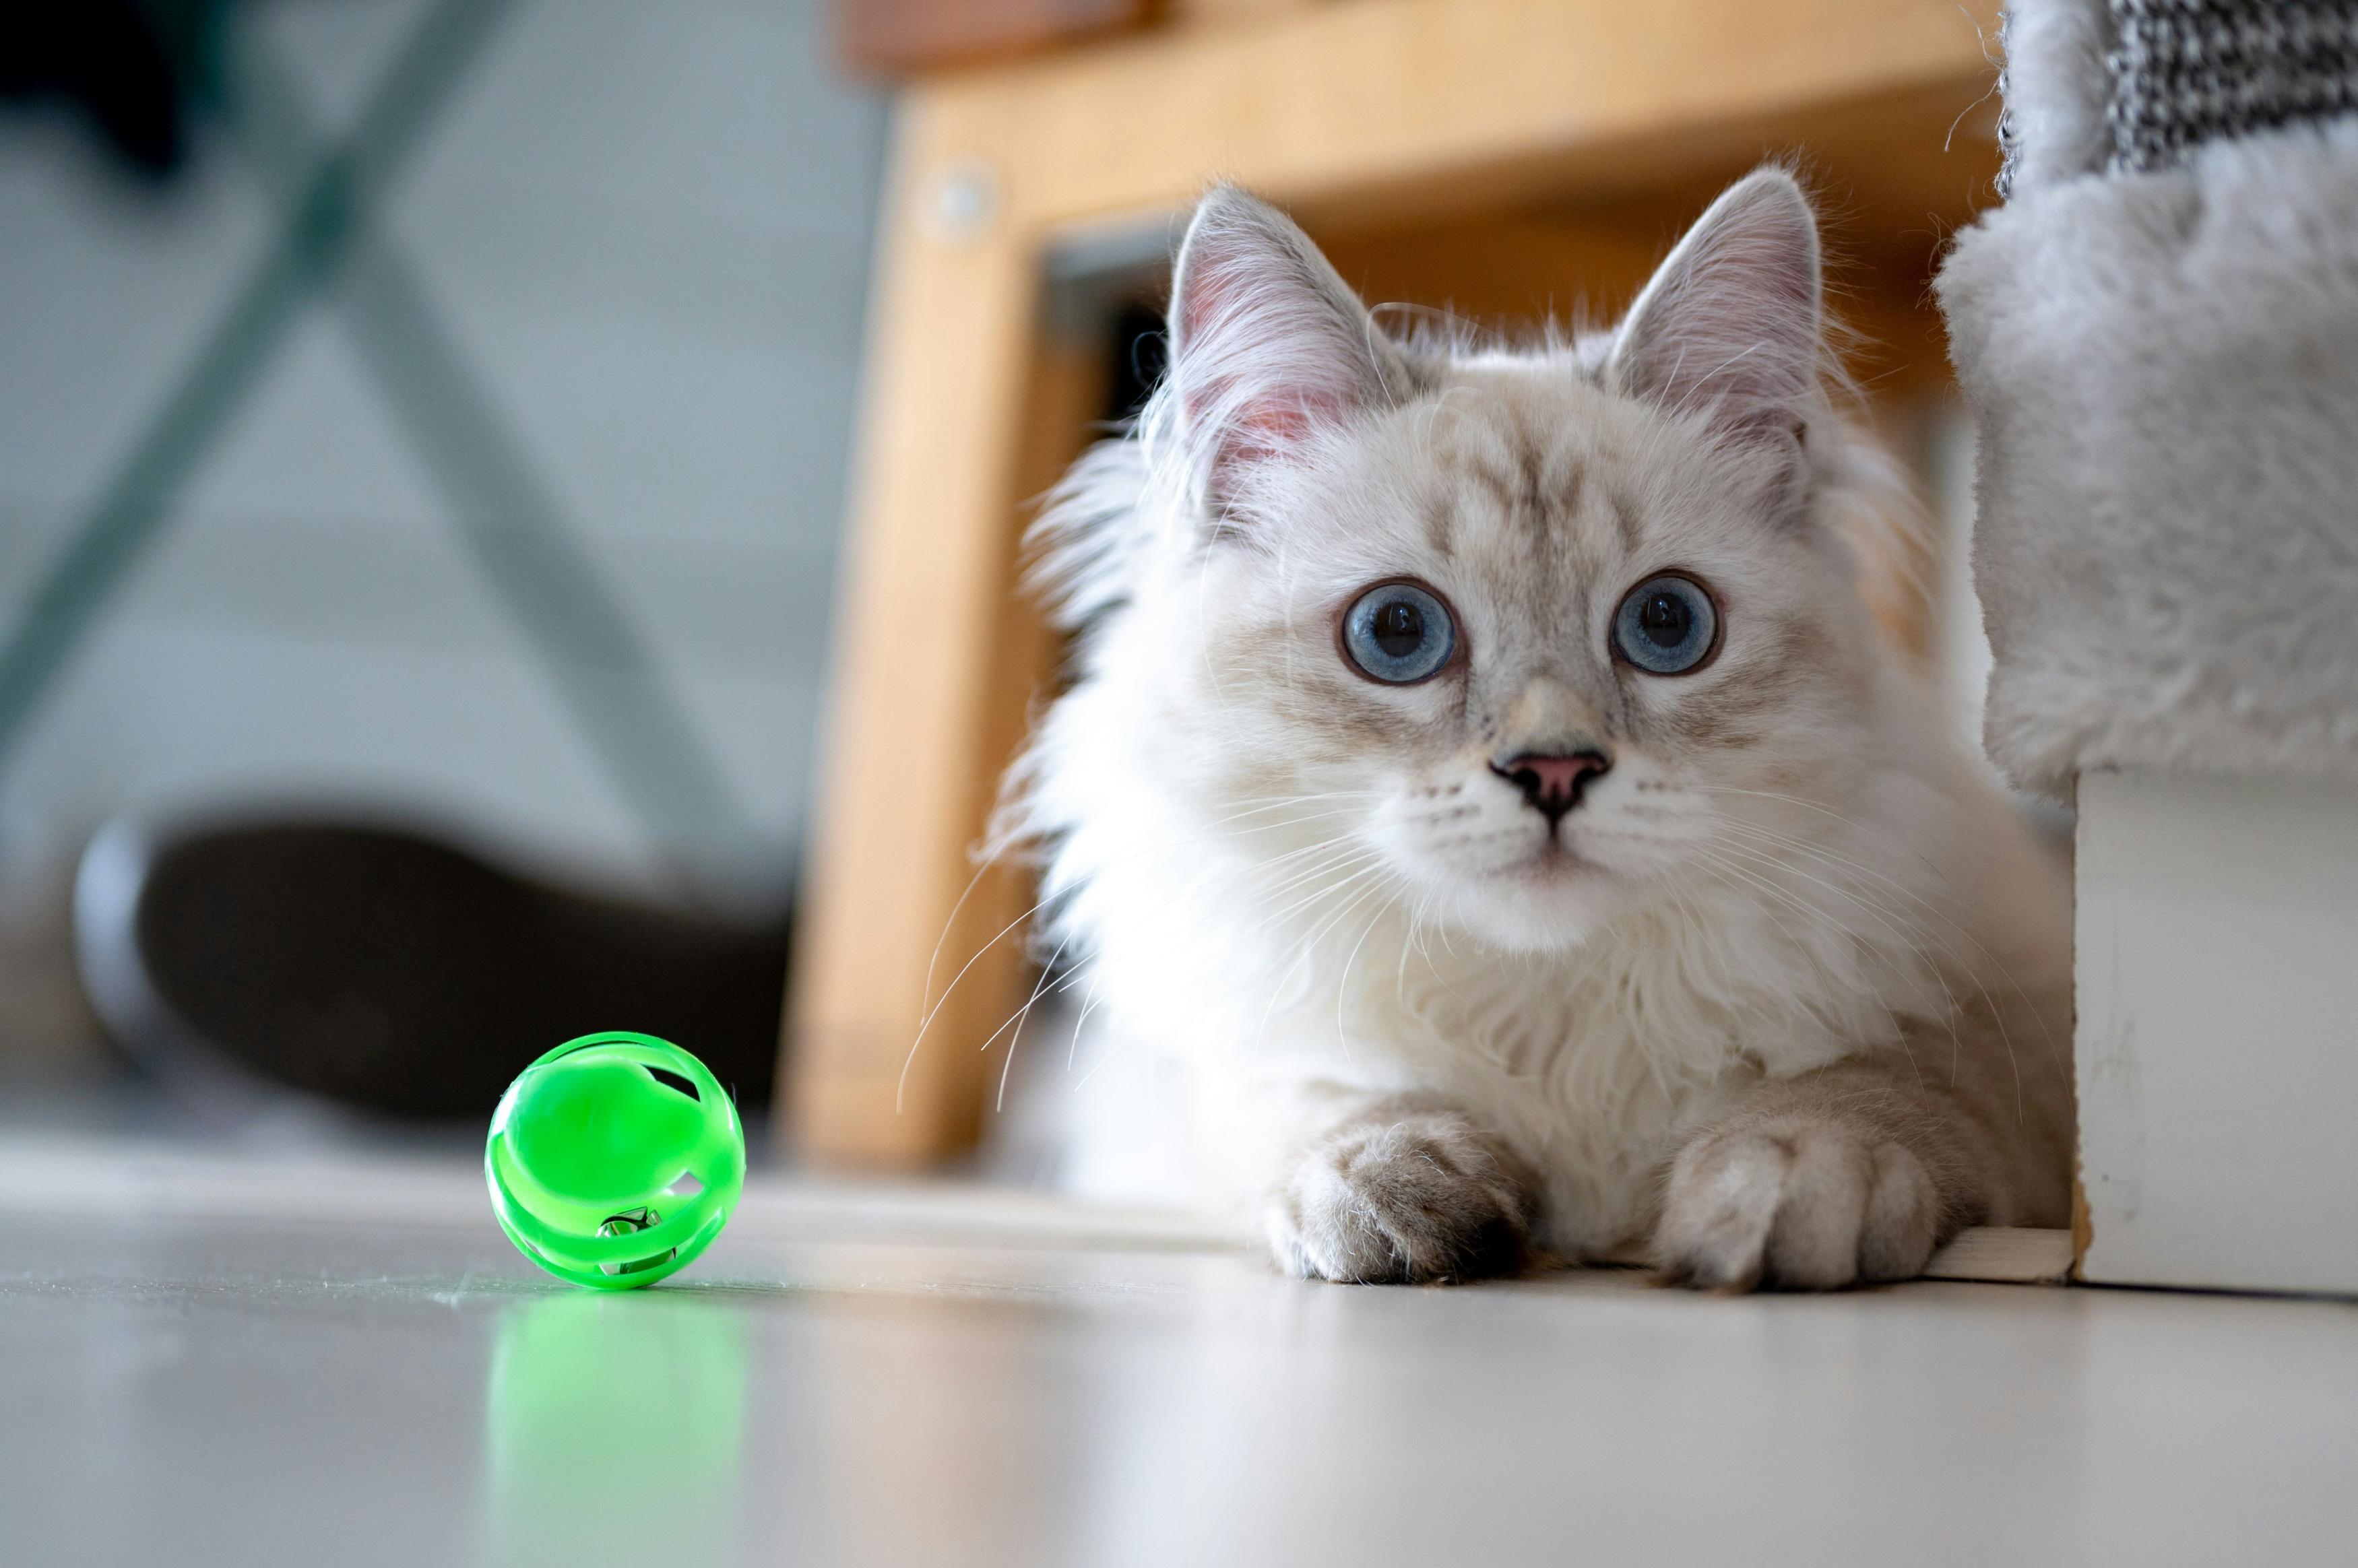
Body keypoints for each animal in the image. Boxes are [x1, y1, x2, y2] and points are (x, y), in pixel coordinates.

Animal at [1005, 168, 2075, 1282]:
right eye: (1396, 633)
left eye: (1667, 625)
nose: (1554, 771)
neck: (1553, 1018)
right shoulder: (1207, 1075)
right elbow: (1321, 1105)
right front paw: (1393, 1192)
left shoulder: (2025, 1024)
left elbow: (1888, 1084)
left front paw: (1784, 1183)